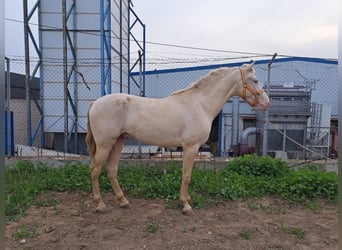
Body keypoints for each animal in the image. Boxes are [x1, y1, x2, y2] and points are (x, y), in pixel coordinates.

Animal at [86, 62, 270, 215]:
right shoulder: (191, 147)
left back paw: (123, 201)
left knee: (111, 169)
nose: (266, 103)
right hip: (105, 144)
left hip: (118, 141)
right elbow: (186, 175)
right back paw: (100, 204)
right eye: (255, 80)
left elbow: (187, 174)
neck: (200, 104)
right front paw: (185, 205)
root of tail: (95, 103)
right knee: (95, 170)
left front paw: (187, 199)